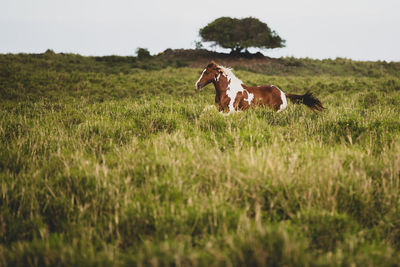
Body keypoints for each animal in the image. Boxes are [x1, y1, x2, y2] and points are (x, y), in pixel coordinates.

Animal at [195, 61, 324, 113]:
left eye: (207, 72)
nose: (197, 84)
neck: (227, 90)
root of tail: (283, 93)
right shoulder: (220, 108)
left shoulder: (231, 110)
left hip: (277, 111)